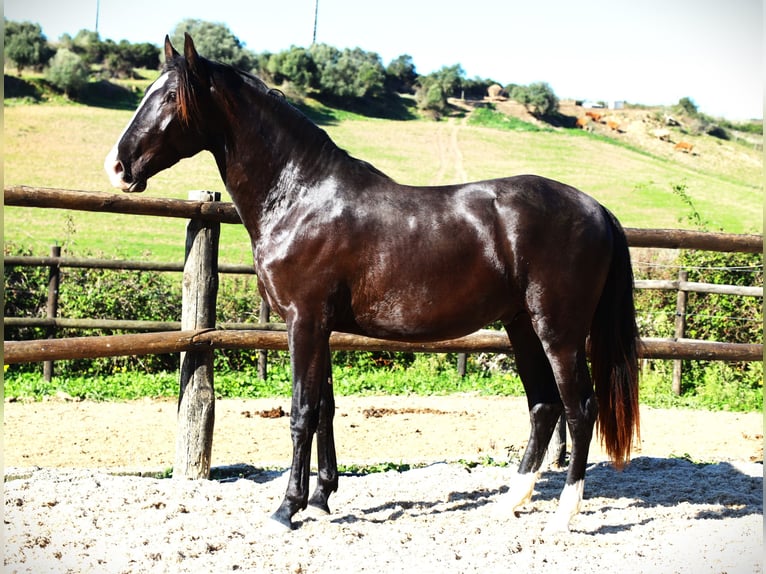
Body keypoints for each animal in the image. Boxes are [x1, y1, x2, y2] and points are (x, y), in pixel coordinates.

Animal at [103, 33, 640, 532]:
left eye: (171, 98)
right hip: (522, 326)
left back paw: (562, 515)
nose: (117, 166)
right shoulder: (320, 326)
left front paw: (286, 509)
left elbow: (302, 412)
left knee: (580, 408)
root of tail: (597, 209)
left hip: (559, 332)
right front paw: (321, 501)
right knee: (544, 406)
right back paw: (508, 502)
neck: (301, 197)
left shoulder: (304, 321)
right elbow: (325, 408)